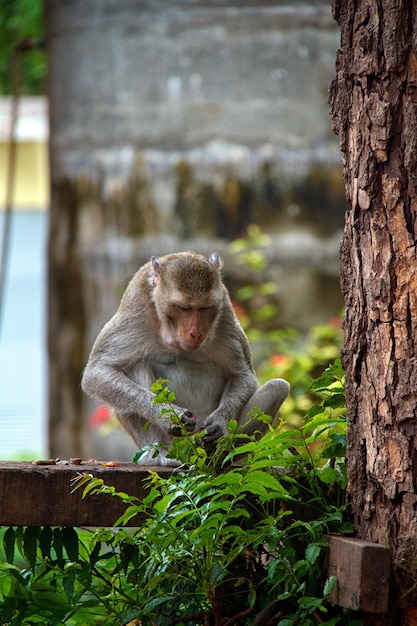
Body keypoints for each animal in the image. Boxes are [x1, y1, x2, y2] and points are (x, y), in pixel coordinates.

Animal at [81, 250, 290, 464]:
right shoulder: (136, 306)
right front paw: (166, 417)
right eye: (184, 307)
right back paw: (161, 456)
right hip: (178, 444)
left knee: (278, 387)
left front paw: (220, 423)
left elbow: (242, 376)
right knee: (134, 366)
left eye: (205, 308)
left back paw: (219, 457)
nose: (196, 333)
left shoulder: (225, 311)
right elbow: (98, 373)